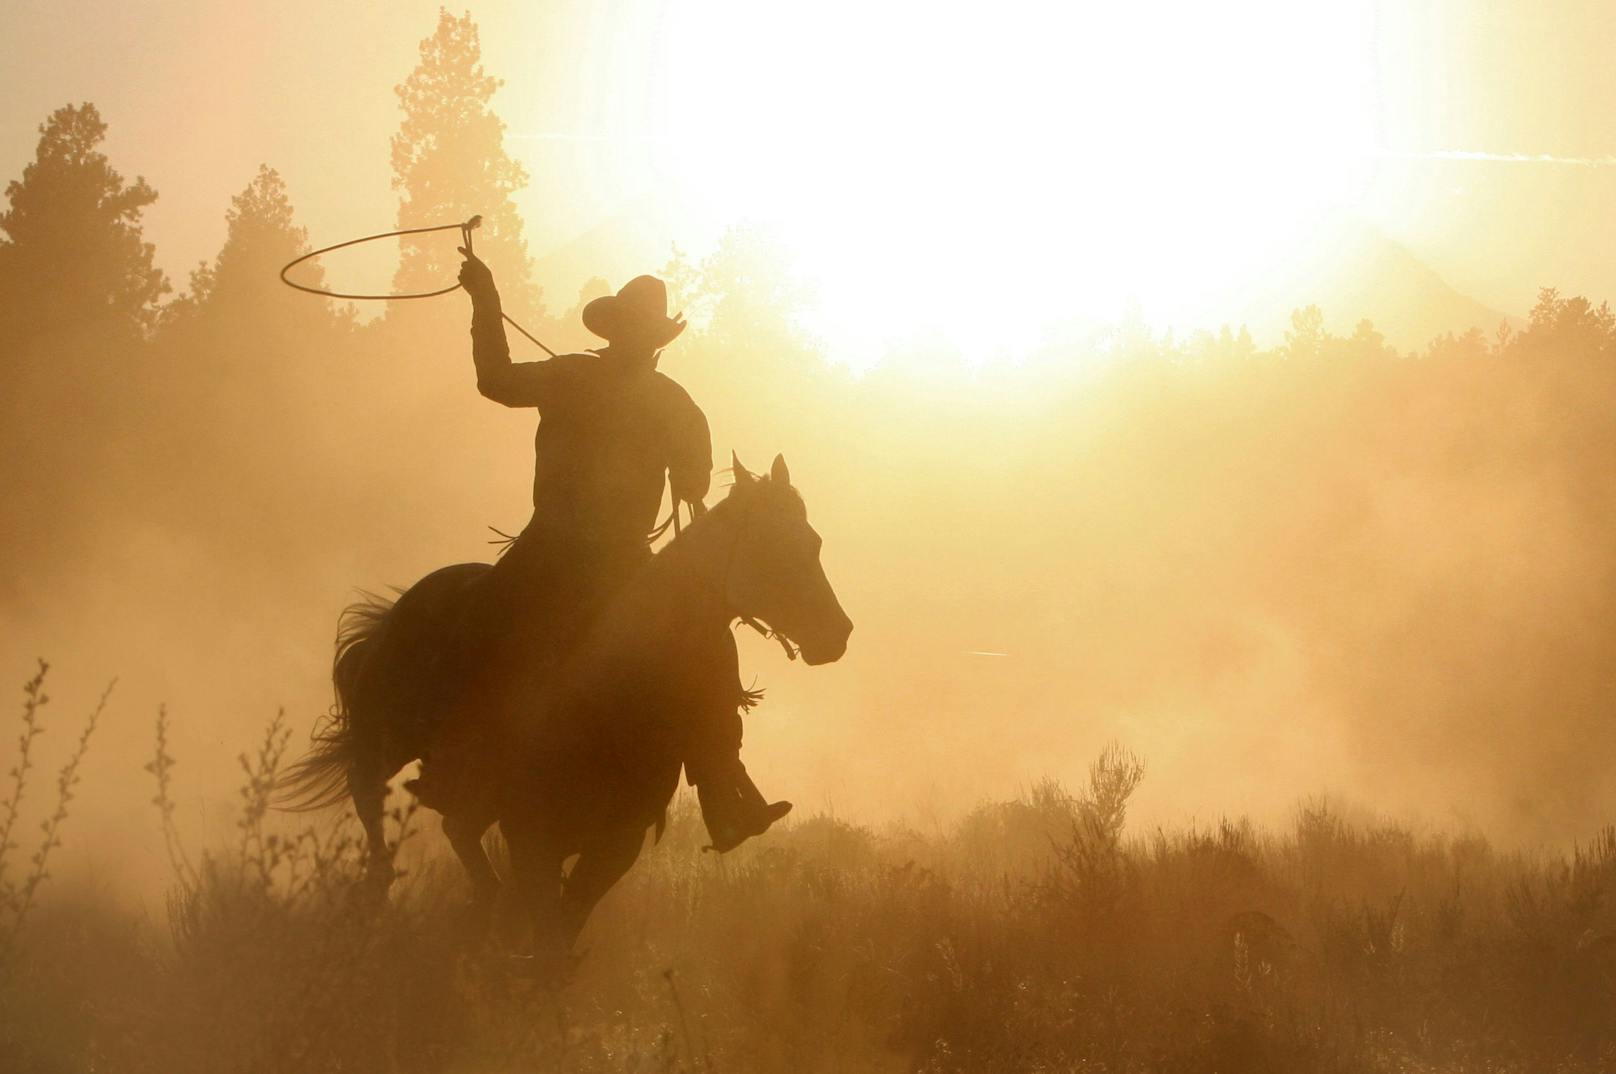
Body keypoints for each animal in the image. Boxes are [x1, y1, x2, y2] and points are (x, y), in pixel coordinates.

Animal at [282, 452, 853, 956]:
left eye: (815, 541)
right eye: (775, 547)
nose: (838, 633)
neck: (615, 694)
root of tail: (396, 611)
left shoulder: (614, 843)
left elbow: (561, 935)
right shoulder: (531, 833)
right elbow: (548, 933)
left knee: (458, 833)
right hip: (386, 741)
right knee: (371, 797)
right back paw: (379, 892)